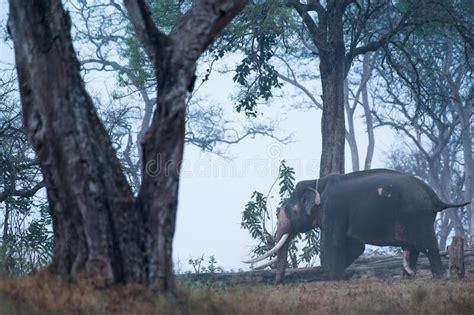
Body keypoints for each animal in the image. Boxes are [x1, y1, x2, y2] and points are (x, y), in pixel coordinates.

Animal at [244, 169, 470, 286]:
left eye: (289, 210)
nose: (278, 284)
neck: (317, 183)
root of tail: (434, 196)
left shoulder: (334, 210)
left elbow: (335, 243)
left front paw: (332, 278)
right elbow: (355, 247)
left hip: (418, 216)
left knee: (429, 245)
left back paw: (439, 277)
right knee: (413, 249)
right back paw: (408, 278)